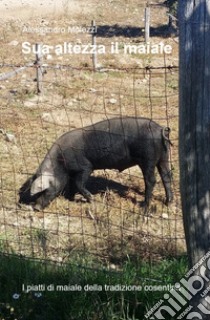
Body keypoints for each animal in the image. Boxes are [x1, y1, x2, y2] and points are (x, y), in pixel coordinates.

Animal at [19, 117, 172, 210]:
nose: (35, 207)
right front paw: (70, 198)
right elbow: (71, 185)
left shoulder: (86, 167)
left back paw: (143, 205)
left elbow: (79, 183)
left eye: (44, 190)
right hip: (163, 157)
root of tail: (160, 129)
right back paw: (168, 202)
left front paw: (92, 200)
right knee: (166, 176)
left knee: (151, 180)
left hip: (148, 159)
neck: (60, 162)